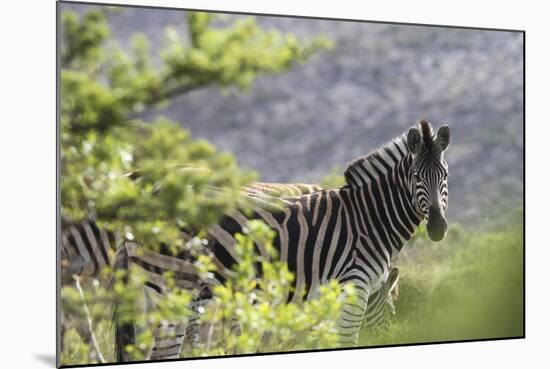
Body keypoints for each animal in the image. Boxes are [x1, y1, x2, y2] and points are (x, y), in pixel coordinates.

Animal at [114, 119, 450, 358]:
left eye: (445, 176)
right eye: (416, 178)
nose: (437, 228)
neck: (369, 218)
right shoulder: (352, 285)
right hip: (172, 286)